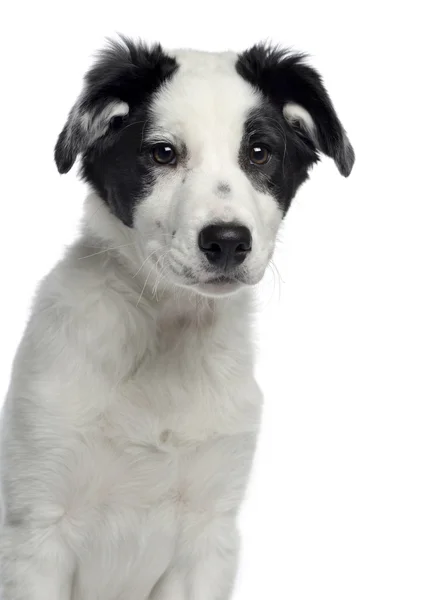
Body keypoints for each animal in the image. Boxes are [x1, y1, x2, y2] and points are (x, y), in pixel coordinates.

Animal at [0, 37, 354, 600]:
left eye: (260, 152)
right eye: (162, 152)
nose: (227, 242)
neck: (166, 329)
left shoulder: (208, 537)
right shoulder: (37, 530)